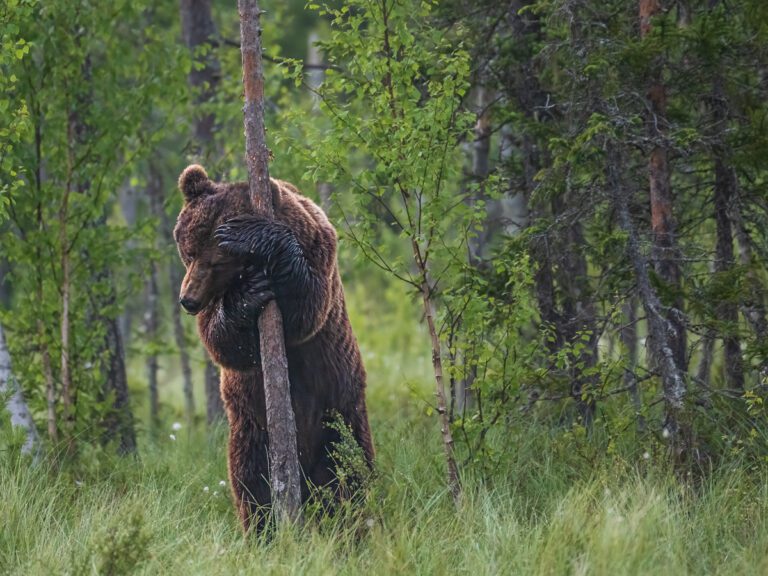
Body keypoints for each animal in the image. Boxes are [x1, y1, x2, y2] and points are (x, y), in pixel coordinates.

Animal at [173, 164, 374, 531]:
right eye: (189, 251)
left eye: (217, 260)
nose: (188, 300)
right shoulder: (216, 304)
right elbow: (225, 343)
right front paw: (248, 295)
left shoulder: (317, 245)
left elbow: (306, 303)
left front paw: (249, 235)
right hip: (252, 430)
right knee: (253, 484)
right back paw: (264, 529)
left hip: (338, 413)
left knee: (346, 474)